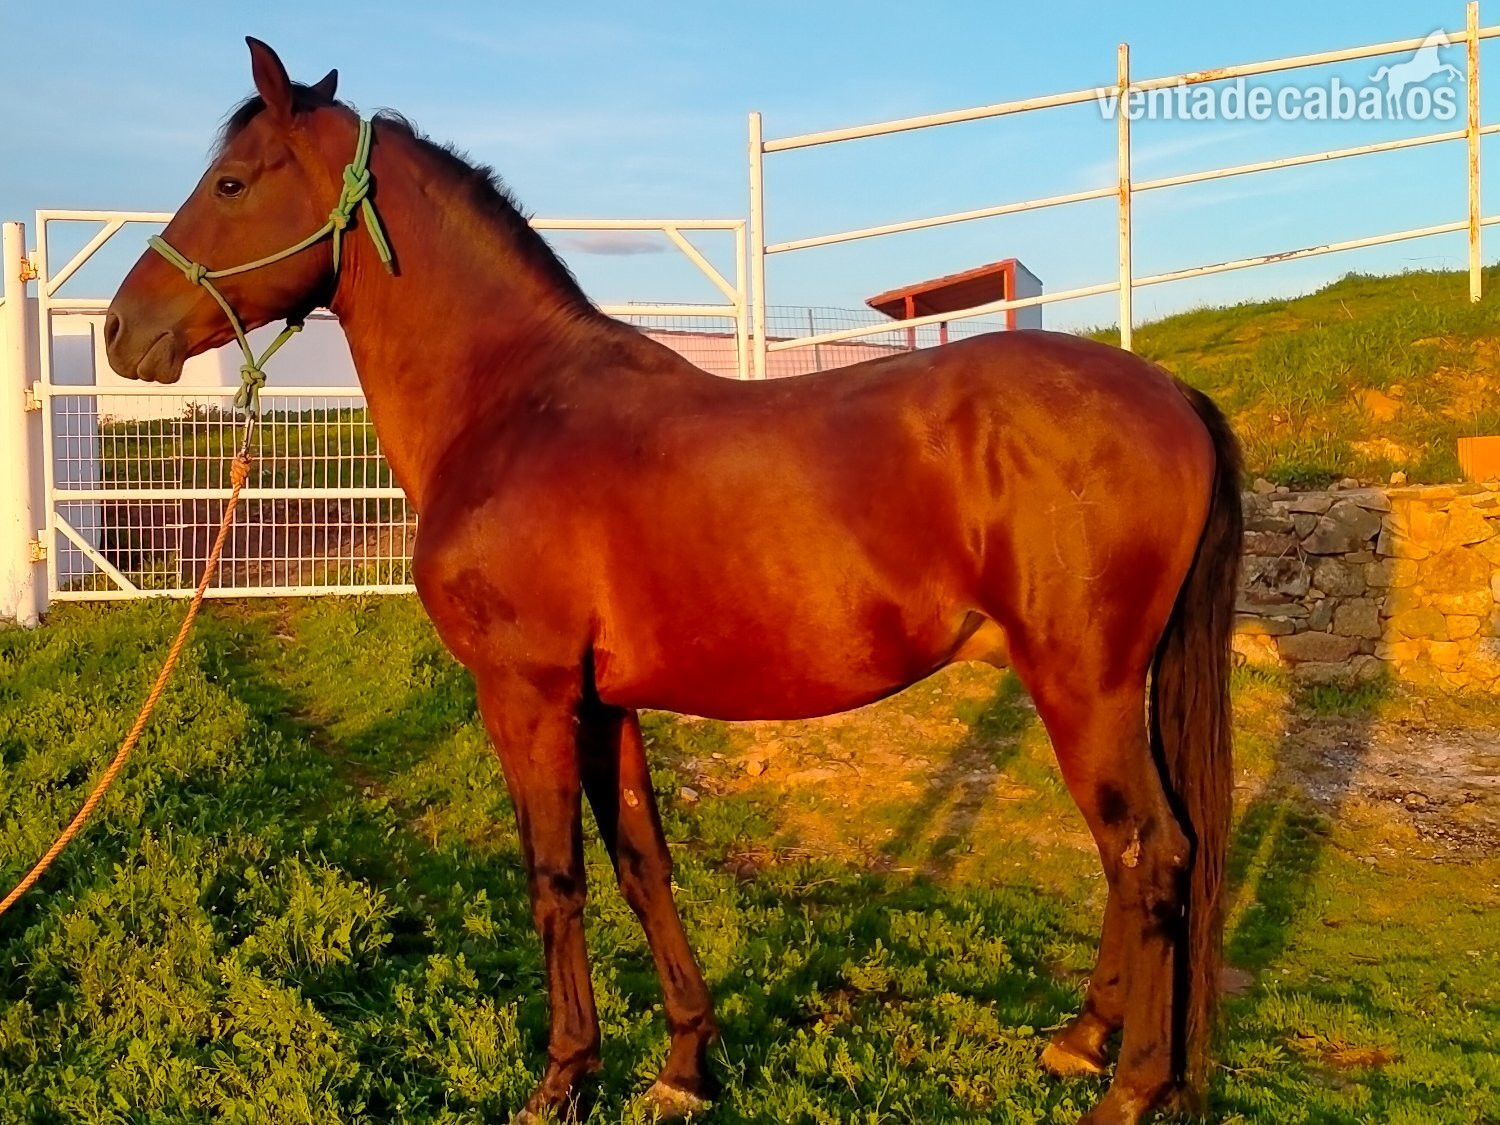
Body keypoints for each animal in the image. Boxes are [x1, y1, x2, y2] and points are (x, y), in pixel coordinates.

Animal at [104, 39, 1241, 1125]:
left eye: (233, 184)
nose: (121, 331)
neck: (513, 405)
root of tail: (1173, 394)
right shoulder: (606, 701)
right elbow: (641, 864)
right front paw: (685, 1065)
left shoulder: (526, 693)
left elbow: (555, 876)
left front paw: (562, 1079)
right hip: (1092, 690)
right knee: (1133, 854)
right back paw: (1080, 1041)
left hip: (1084, 687)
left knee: (1152, 851)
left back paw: (1129, 1086)